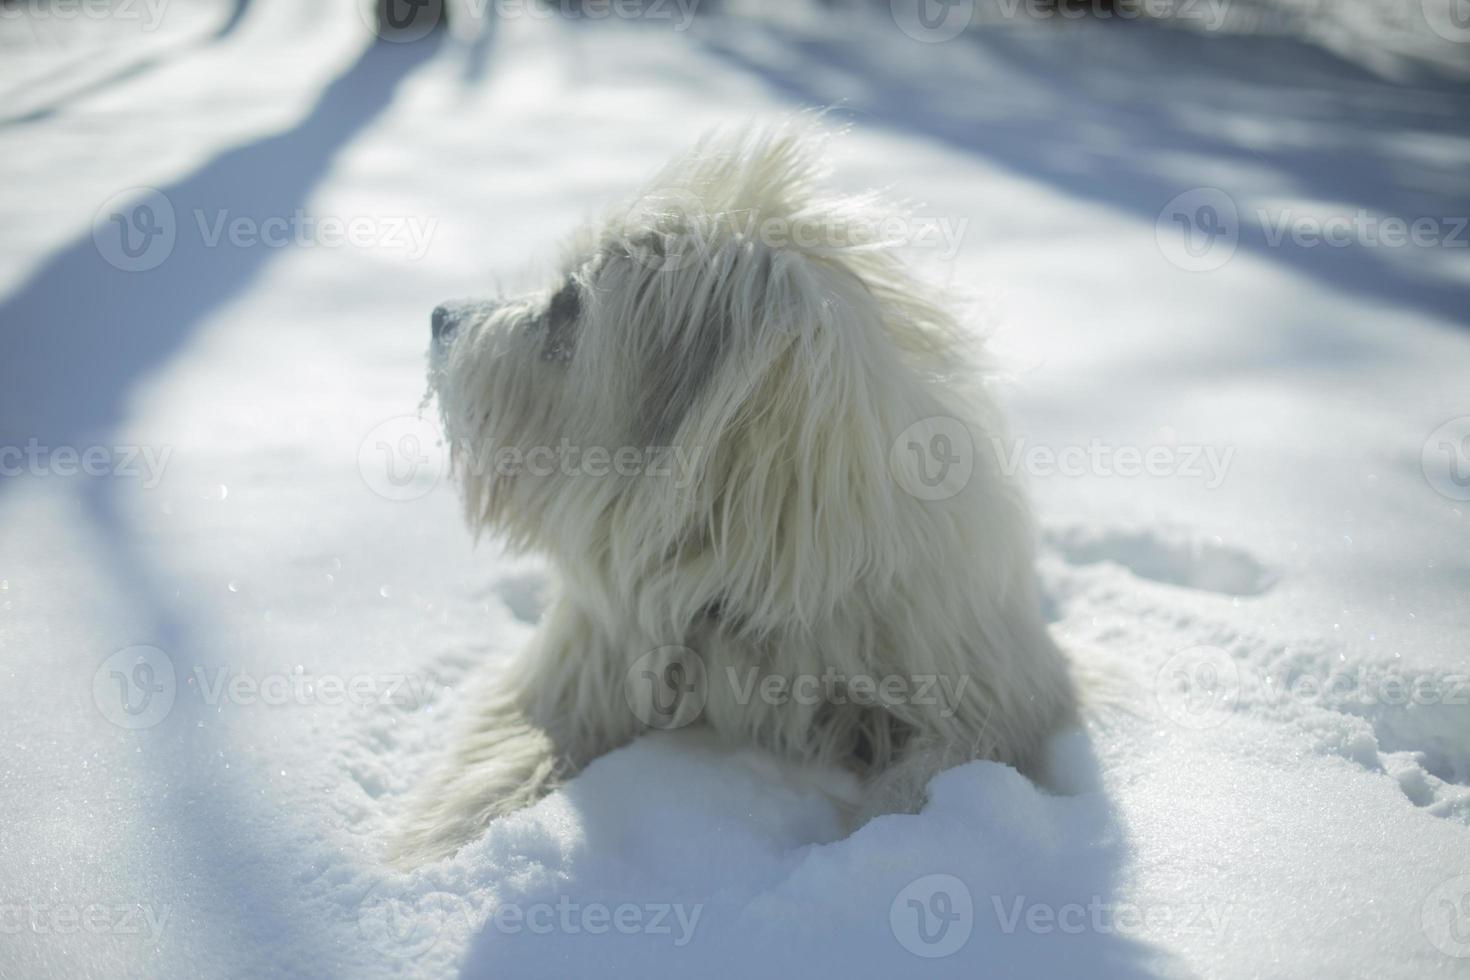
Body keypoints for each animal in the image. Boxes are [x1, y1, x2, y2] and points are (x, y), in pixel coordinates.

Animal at [396, 120, 1076, 863]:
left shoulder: (980, 694)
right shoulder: (587, 666)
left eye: (569, 303)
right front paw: (438, 850)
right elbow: (502, 760)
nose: (441, 317)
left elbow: (932, 775)